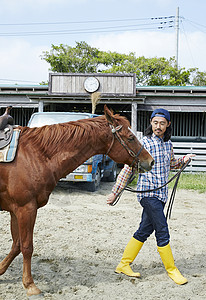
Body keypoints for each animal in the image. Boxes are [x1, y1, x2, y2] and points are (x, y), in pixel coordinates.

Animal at [0, 105, 154, 296]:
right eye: (131, 137)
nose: (150, 161)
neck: (35, 155)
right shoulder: (26, 208)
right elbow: (27, 246)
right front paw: (30, 284)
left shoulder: (15, 210)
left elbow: (16, 245)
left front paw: (1, 270)